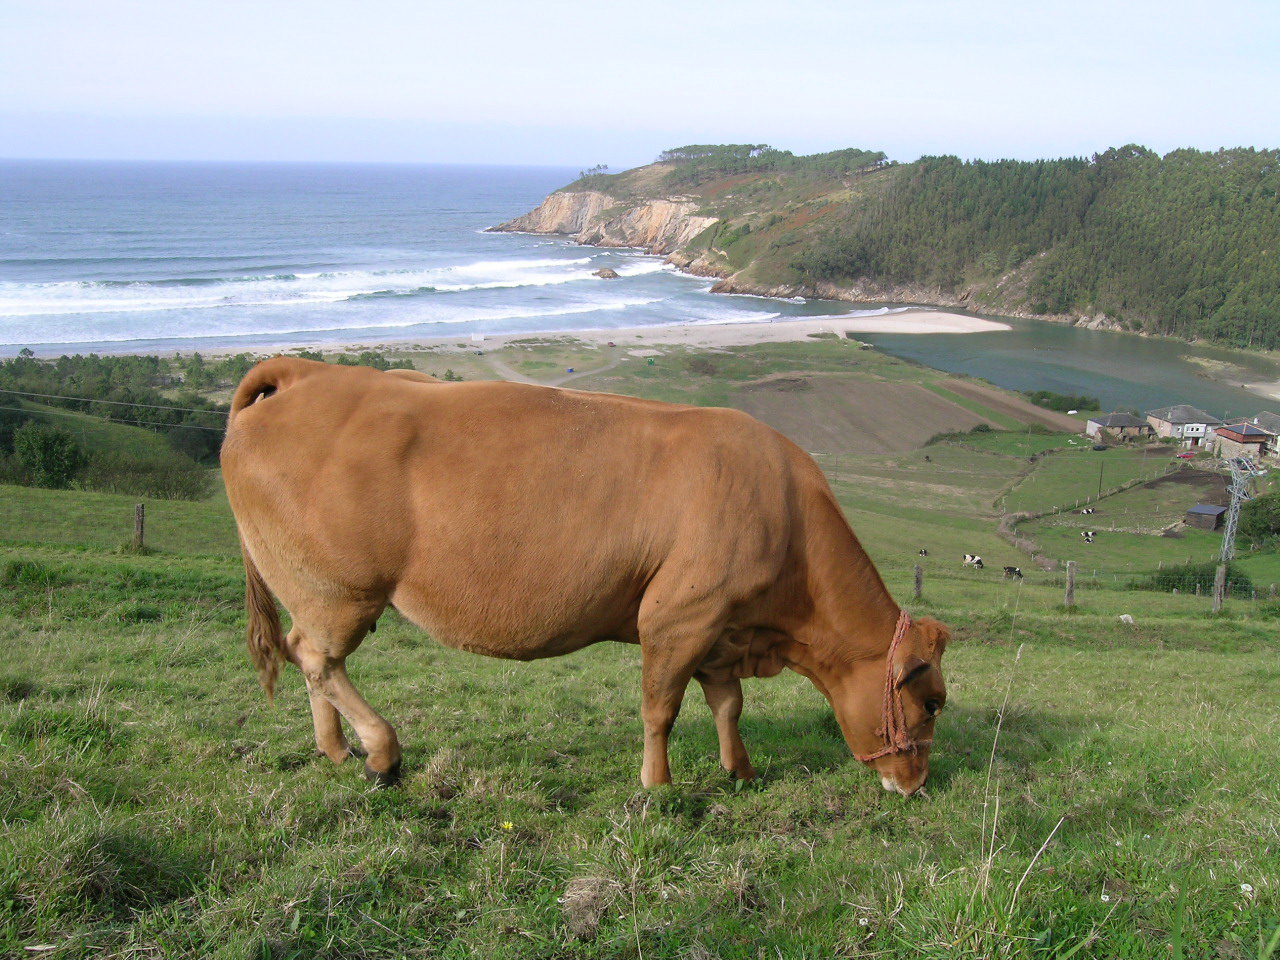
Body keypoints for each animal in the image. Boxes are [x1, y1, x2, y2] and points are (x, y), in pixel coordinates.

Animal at [222, 360, 952, 798]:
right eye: (932, 703)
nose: (916, 784)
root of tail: (308, 371)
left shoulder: (721, 627)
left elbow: (727, 703)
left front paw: (739, 771)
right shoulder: (677, 614)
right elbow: (661, 707)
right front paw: (656, 788)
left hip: (324, 596)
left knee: (310, 660)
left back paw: (337, 752)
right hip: (339, 591)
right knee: (316, 657)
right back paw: (381, 753)